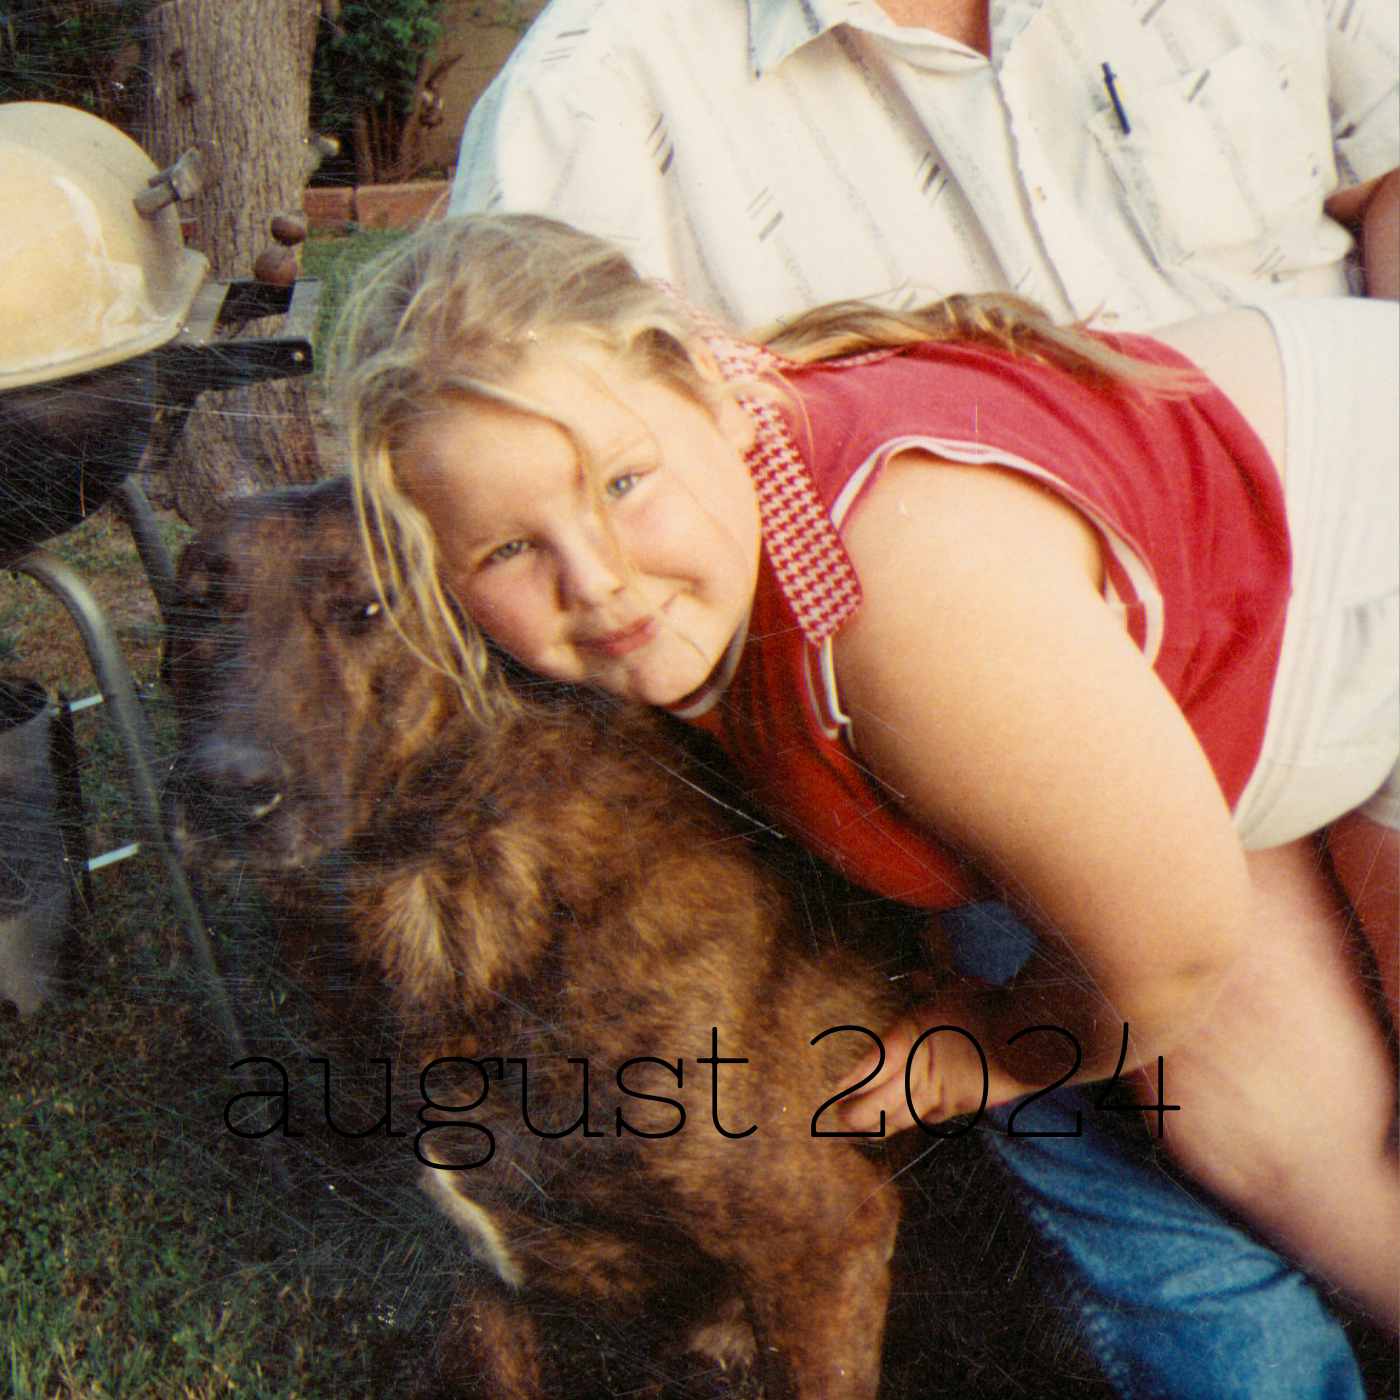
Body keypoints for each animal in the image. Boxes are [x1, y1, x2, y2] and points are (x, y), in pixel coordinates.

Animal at [166, 478, 929, 1388]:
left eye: (367, 607)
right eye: (196, 607)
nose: (225, 789)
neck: (439, 888)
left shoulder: (822, 1238)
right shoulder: (473, 1271)